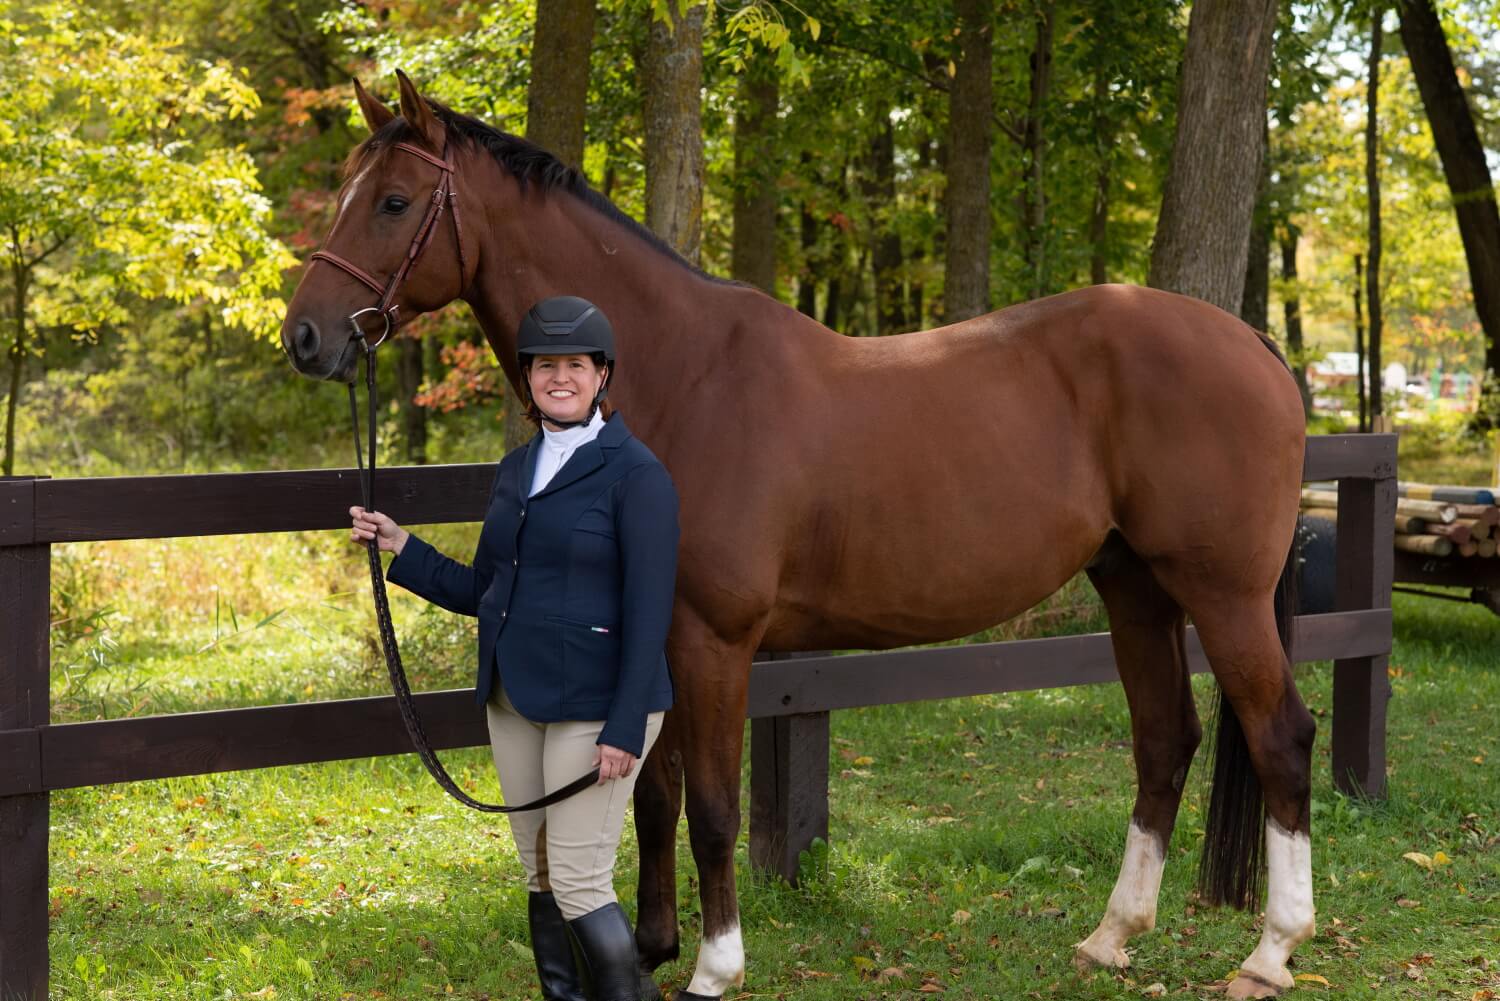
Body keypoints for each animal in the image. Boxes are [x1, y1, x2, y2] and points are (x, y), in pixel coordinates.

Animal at [282, 72, 1314, 1001]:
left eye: (394, 201)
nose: (305, 338)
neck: (683, 375)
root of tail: (1255, 346)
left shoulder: (713, 642)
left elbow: (712, 808)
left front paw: (714, 967)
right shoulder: (652, 638)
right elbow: (653, 796)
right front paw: (650, 948)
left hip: (1221, 592)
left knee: (1280, 737)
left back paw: (1269, 955)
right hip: (1133, 584)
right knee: (1164, 739)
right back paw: (1112, 937)